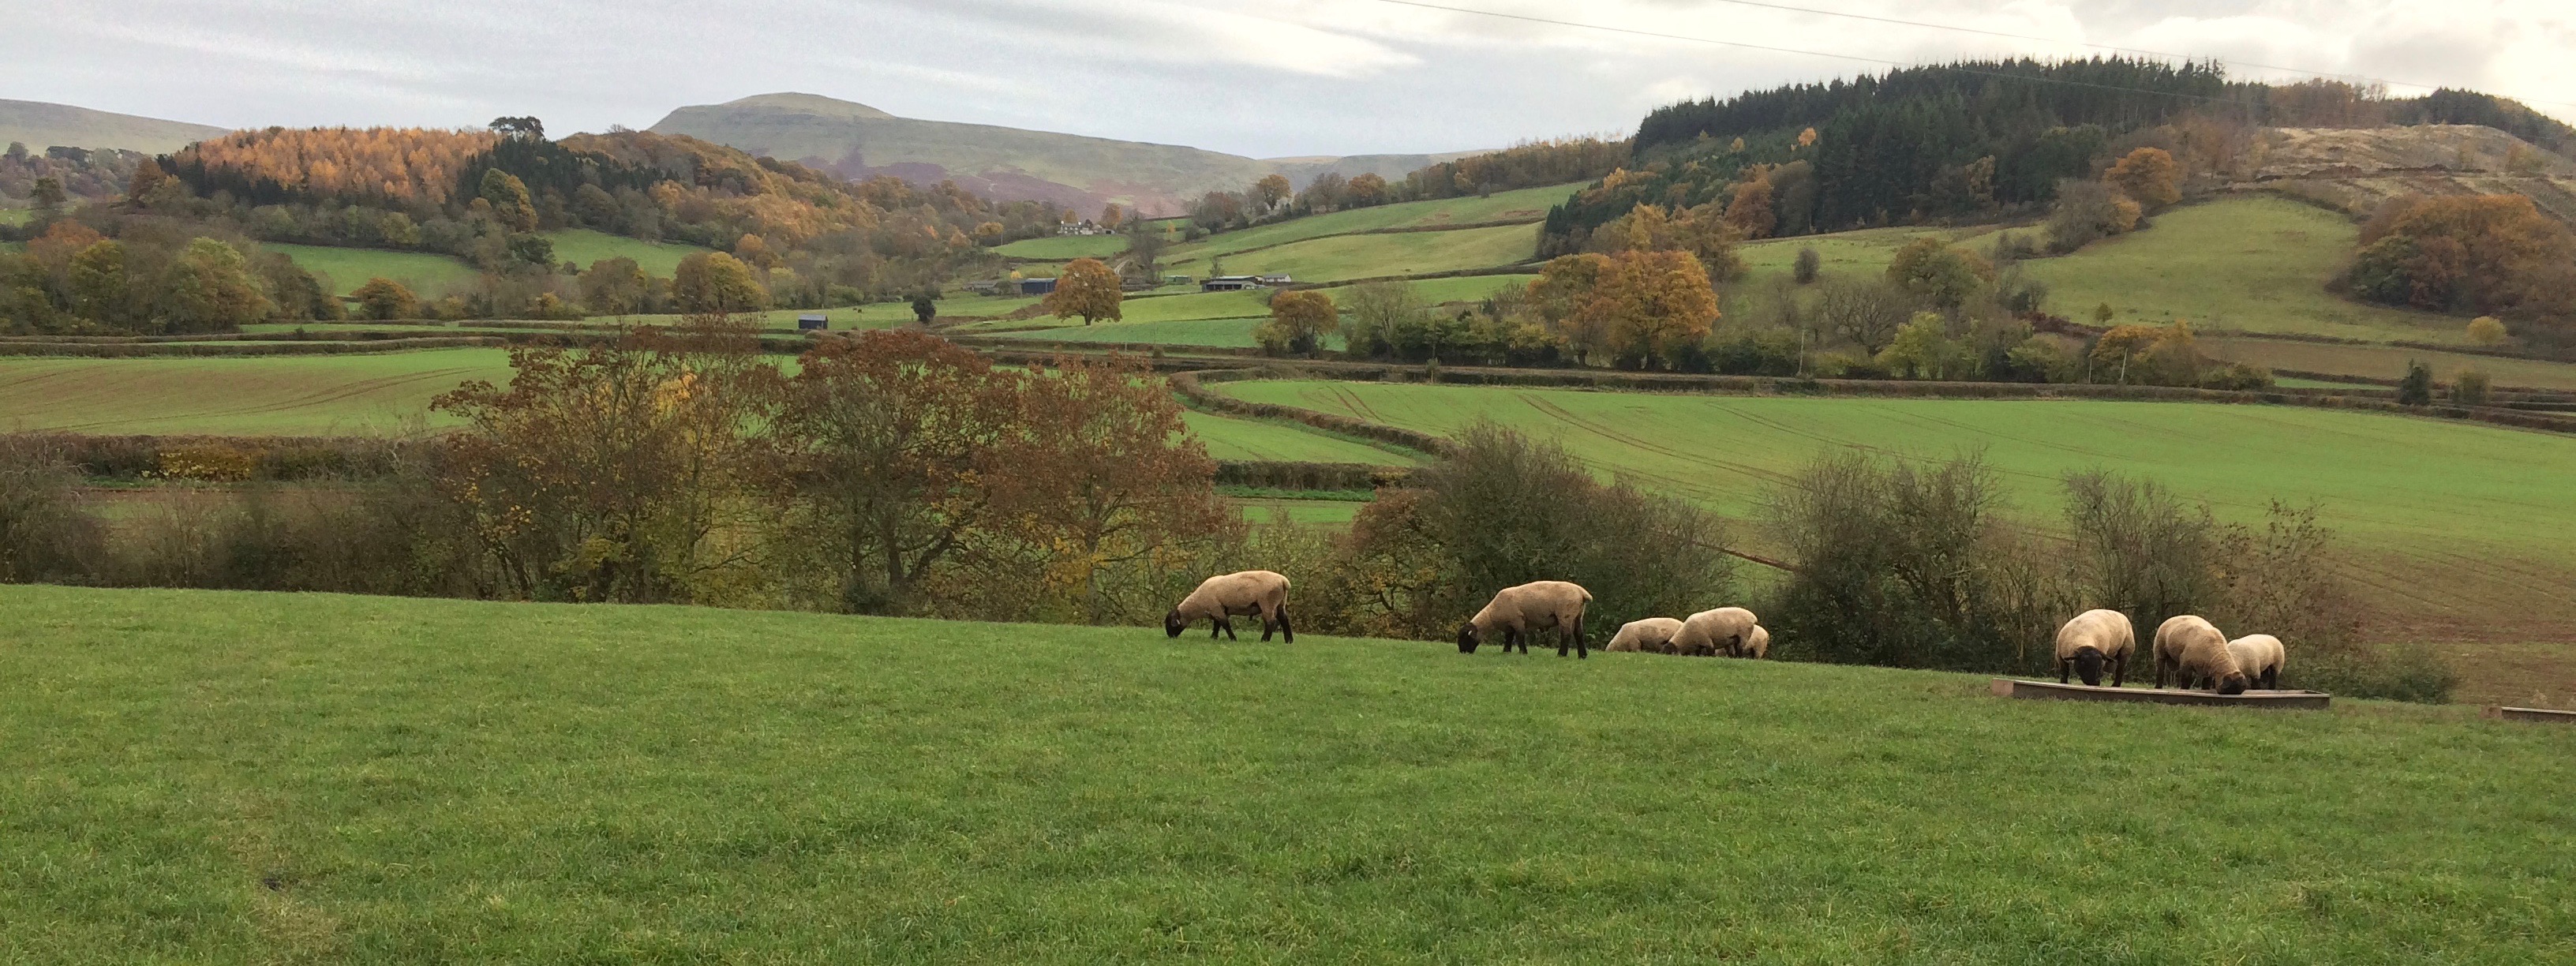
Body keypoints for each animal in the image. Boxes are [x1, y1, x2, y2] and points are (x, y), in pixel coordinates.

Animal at [1164, 570, 1292, 643]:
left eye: (1170, 623)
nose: (1170, 637)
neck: (1198, 603)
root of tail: (1283, 581)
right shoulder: (1216, 609)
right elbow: (1216, 625)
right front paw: (1213, 638)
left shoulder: (1216, 609)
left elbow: (1225, 624)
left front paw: (1233, 639)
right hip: (1281, 602)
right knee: (1284, 619)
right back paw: (1289, 641)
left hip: (1267, 602)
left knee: (1270, 621)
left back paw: (1264, 640)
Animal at [1458, 581, 1593, 658]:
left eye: (1465, 638)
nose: (1462, 652)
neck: (1491, 615)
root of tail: (1582, 593)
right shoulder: (1510, 625)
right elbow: (1508, 638)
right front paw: (1506, 652)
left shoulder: (1518, 620)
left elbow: (1520, 637)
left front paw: (1523, 653)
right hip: (1578, 615)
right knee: (1579, 634)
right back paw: (1582, 656)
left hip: (1566, 614)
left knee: (1566, 635)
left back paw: (1561, 655)